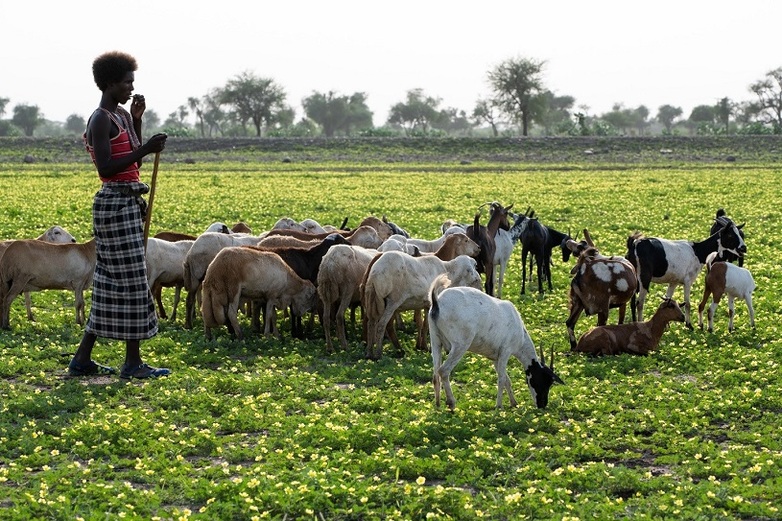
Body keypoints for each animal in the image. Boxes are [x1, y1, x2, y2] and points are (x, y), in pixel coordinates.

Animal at [428, 272, 564, 410]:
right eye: (544, 381)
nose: (542, 404)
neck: (519, 329)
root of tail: (437, 301)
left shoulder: (495, 358)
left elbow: (507, 379)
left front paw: (514, 403)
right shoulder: (505, 352)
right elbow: (502, 379)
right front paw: (499, 406)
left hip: (435, 342)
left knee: (435, 375)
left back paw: (438, 405)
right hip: (460, 346)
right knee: (443, 371)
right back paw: (451, 403)